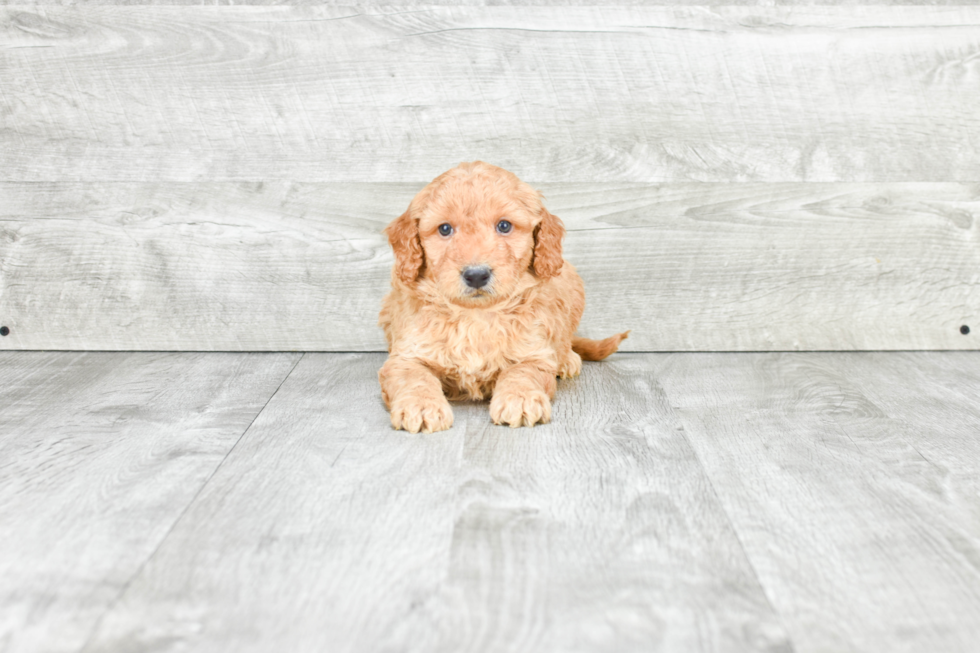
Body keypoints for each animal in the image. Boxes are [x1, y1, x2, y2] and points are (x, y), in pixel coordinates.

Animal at [376, 160, 628, 430]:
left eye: (504, 226)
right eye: (444, 229)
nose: (476, 275)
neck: (476, 316)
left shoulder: (534, 353)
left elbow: (523, 373)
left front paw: (520, 399)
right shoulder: (406, 354)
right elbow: (414, 376)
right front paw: (421, 406)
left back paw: (566, 359)